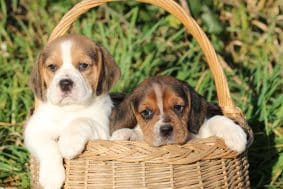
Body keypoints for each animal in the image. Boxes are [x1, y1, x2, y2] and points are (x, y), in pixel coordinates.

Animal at [24, 34, 121, 189]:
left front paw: (68, 143)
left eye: (83, 65)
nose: (65, 83)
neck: (69, 109)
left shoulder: (103, 130)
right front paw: (51, 177)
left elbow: (81, 120)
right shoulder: (34, 130)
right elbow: (48, 147)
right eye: (52, 67)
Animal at [111, 76, 248, 153]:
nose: (166, 129)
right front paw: (124, 134)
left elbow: (216, 120)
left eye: (178, 107)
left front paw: (236, 136)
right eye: (146, 112)